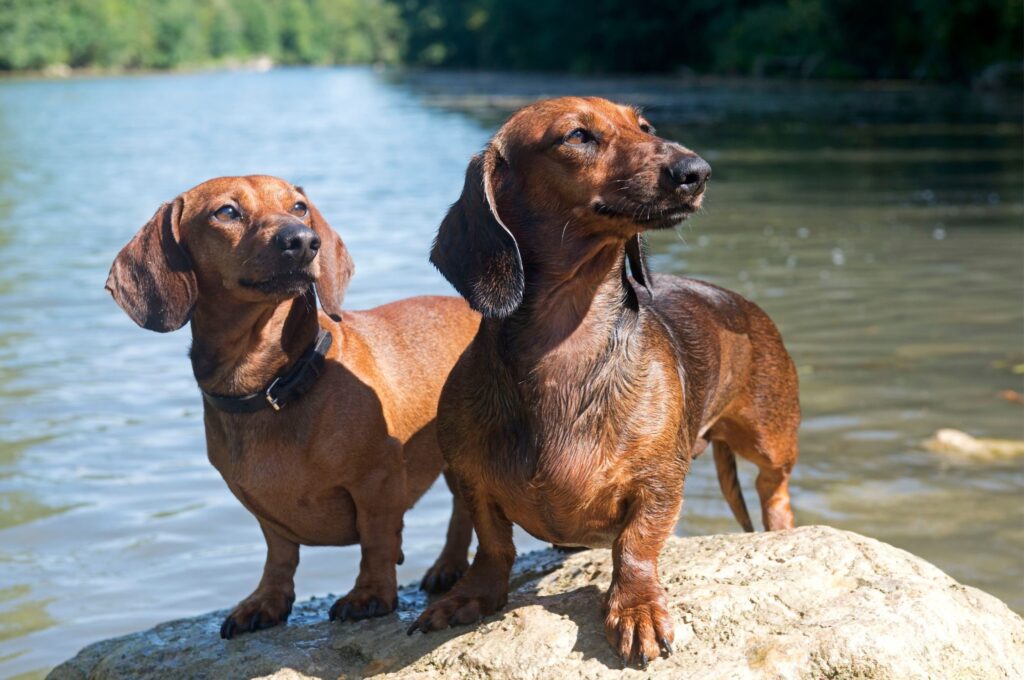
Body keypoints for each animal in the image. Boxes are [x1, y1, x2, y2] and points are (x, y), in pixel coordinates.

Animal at [105, 175, 481, 639]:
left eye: (299, 207)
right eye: (226, 212)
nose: (303, 241)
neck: (277, 383)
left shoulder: (377, 482)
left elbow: (377, 541)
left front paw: (370, 594)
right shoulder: (260, 507)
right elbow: (280, 553)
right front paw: (266, 600)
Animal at [407, 98, 798, 667]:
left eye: (645, 126)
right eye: (577, 135)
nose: (696, 171)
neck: (566, 345)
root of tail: (739, 301)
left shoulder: (659, 484)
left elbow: (634, 545)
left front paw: (636, 609)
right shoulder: (472, 481)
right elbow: (492, 544)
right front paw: (472, 595)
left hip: (769, 440)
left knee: (775, 489)